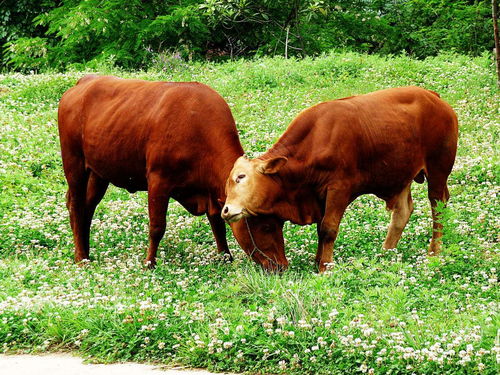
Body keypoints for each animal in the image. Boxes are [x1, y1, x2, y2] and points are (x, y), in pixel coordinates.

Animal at [58, 75, 286, 270]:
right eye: (266, 226)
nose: (281, 265)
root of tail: (84, 81)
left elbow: (217, 223)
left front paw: (226, 258)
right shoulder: (158, 181)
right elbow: (157, 226)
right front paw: (149, 264)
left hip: (99, 173)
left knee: (86, 208)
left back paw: (86, 252)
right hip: (73, 163)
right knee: (76, 206)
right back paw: (81, 258)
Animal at [223, 86, 458, 272]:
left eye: (241, 177)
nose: (226, 210)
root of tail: (432, 96)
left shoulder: (339, 189)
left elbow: (328, 229)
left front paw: (324, 267)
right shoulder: (318, 197)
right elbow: (321, 229)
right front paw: (318, 261)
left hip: (438, 170)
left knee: (437, 206)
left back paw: (434, 251)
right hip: (400, 174)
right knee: (402, 211)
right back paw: (386, 253)